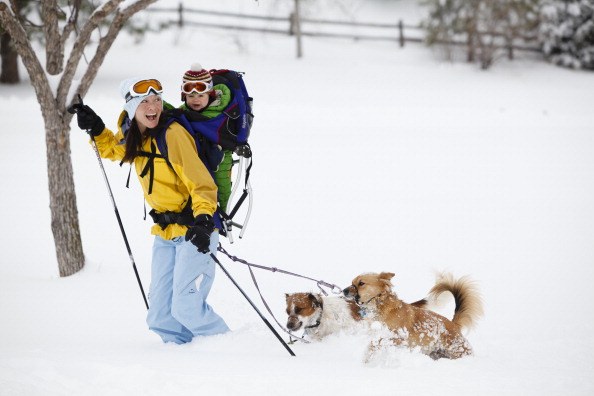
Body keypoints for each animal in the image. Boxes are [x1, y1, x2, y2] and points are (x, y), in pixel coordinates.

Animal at [342, 272, 480, 358]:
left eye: (361, 283)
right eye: (352, 282)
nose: (344, 290)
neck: (380, 306)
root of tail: (454, 324)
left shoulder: (398, 338)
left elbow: (376, 343)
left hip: (458, 350)